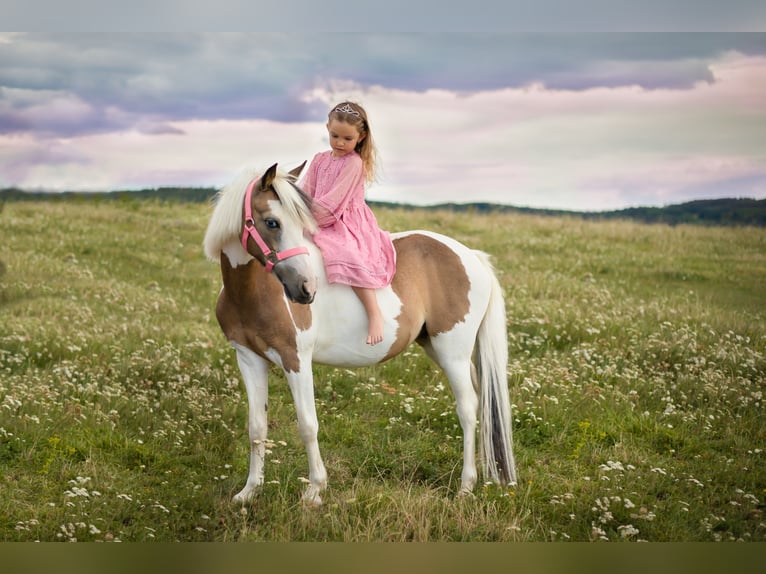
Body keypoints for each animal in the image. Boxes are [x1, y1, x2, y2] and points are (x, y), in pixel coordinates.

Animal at [202, 163, 516, 508]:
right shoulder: (248, 359)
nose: (305, 289)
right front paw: (249, 492)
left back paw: (466, 486)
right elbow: (257, 427)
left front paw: (315, 491)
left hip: (453, 353)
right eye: (272, 222)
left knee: (468, 409)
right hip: (438, 348)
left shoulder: (295, 360)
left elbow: (307, 424)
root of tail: (471, 256)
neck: (252, 292)